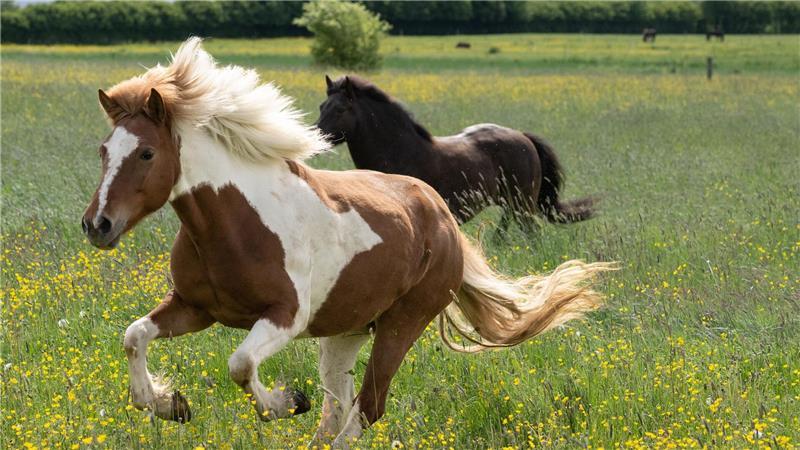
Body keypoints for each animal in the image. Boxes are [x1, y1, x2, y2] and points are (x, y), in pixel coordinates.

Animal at [316, 75, 598, 230]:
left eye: (340, 109)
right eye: (321, 106)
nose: (315, 138)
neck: (400, 152)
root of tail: (522, 137)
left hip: (522, 205)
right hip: (509, 204)